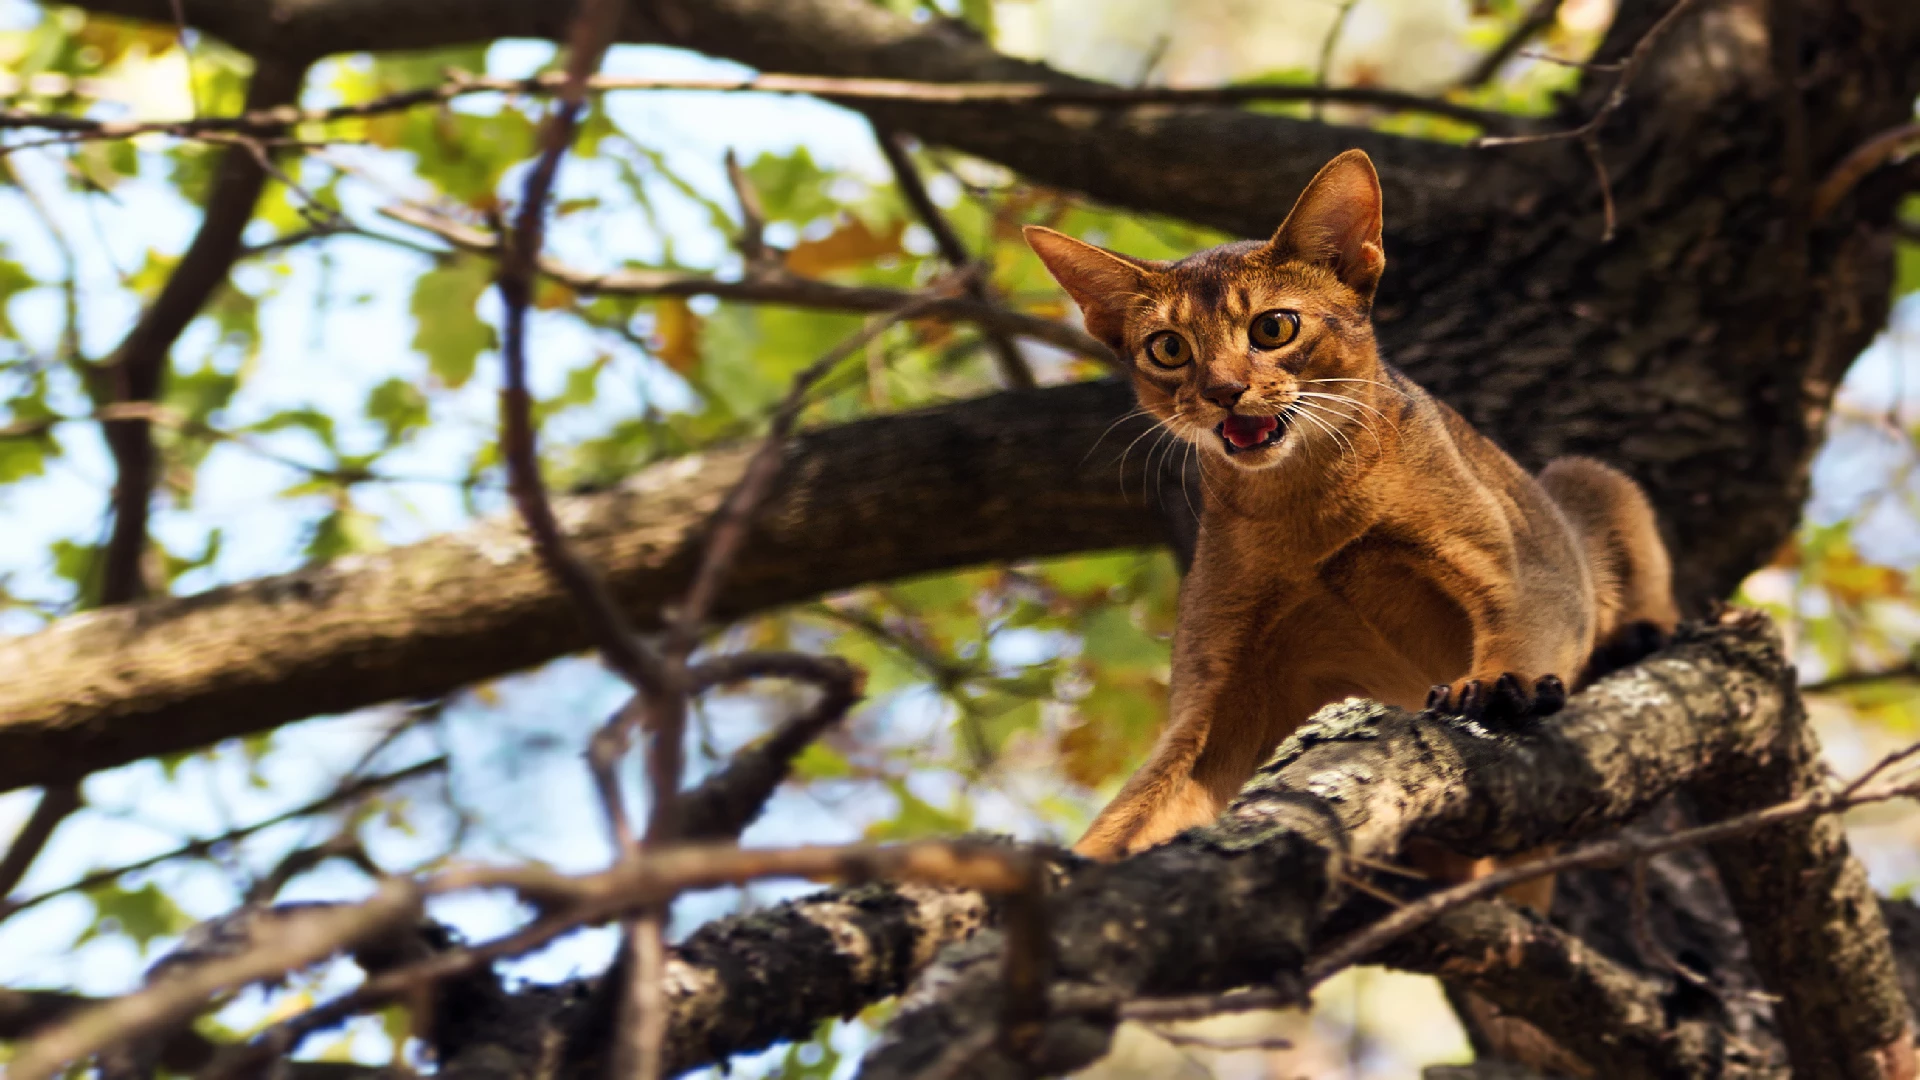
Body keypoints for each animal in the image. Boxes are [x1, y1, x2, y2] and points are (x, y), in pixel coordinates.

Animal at [1029, 148, 1674, 857]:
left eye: (1273, 327)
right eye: (1169, 347)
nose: (1224, 392)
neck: (1309, 507)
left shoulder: (1525, 566)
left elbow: (1528, 626)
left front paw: (1503, 685)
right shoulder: (1216, 698)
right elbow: (1140, 806)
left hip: (1583, 478)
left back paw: (1640, 634)